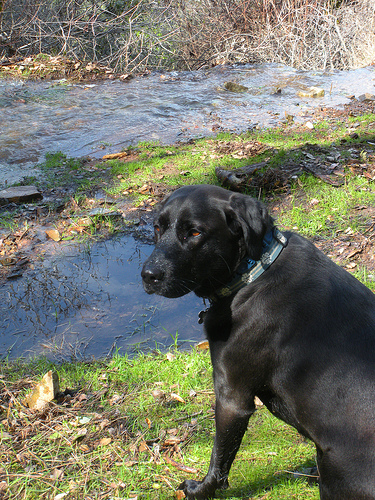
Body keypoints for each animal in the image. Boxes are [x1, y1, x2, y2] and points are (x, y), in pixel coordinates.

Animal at [141, 185, 375, 500]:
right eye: (157, 227)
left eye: (194, 232)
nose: (148, 275)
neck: (252, 273)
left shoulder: (232, 398)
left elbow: (220, 458)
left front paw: (200, 489)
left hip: (332, 469)